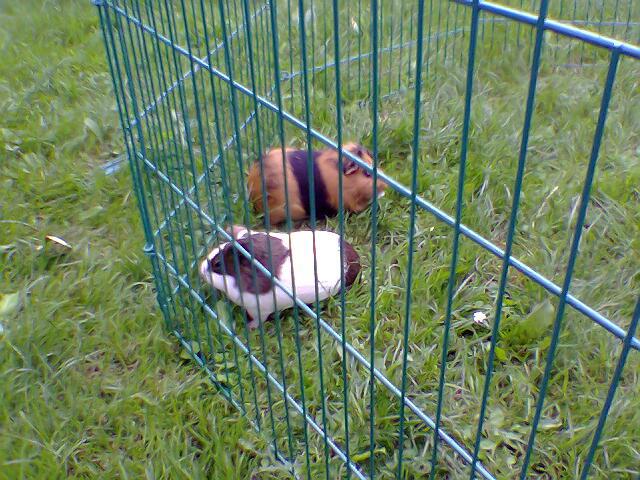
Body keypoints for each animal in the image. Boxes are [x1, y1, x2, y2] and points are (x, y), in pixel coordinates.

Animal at [199, 226, 361, 330]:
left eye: (218, 264)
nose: (201, 269)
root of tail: (355, 260)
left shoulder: (258, 309)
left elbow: (258, 320)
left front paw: (248, 327)